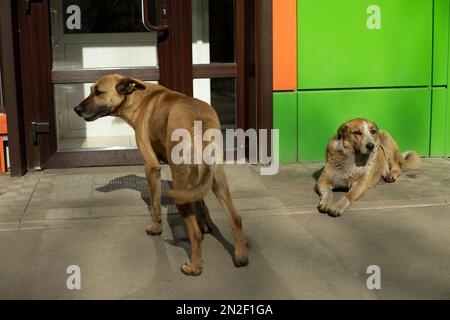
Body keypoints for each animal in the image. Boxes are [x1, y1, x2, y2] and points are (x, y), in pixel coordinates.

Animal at [74, 74, 250, 276]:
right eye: (91, 90)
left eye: (98, 92)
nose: (76, 109)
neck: (138, 97)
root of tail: (200, 122)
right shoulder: (196, 183)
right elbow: (200, 202)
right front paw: (205, 223)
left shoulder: (151, 167)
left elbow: (155, 204)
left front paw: (155, 228)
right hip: (217, 180)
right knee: (235, 218)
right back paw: (241, 256)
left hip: (180, 187)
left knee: (195, 233)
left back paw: (194, 267)